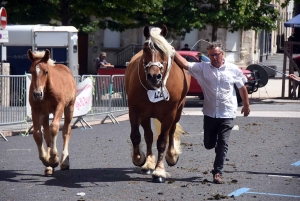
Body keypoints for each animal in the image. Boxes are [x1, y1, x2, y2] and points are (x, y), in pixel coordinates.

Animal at [125, 24, 191, 182]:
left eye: (163, 50)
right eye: (145, 48)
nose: (154, 76)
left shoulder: (169, 115)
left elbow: (162, 141)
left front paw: (159, 171)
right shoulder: (135, 111)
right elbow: (136, 136)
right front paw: (139, 158)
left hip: (177, 112)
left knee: (171, 132)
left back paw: (171, 155)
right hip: (146, 115)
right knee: (148, 136)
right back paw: (149, 164)